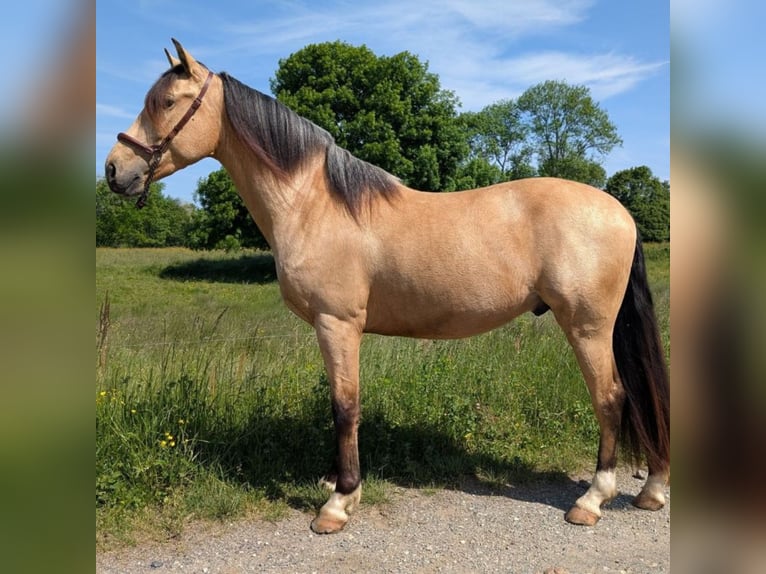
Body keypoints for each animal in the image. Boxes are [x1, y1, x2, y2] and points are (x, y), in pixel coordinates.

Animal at [105, 39, 669, 534]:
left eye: (167, 102)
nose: (114, 170)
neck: (314, 203)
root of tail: (620, 210)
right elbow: (340, 406)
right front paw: (336, 483)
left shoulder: (338, 324)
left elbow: (345, 407)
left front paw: (338, 503)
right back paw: (652, 488)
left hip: (588, 327)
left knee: (612, 398)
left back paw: (592, 500)